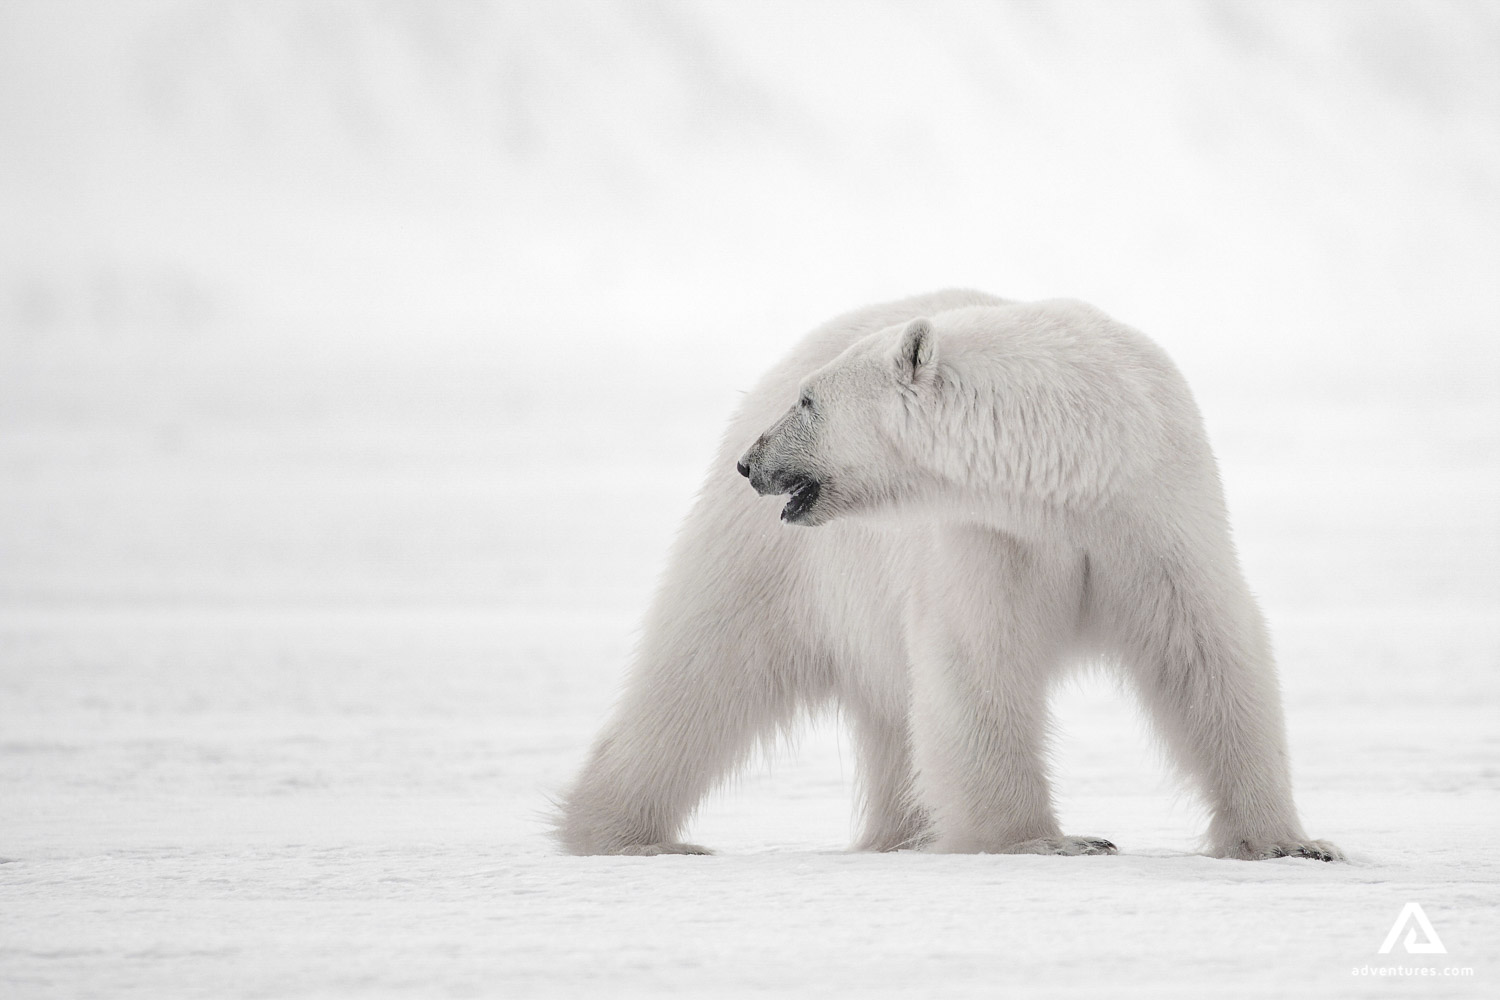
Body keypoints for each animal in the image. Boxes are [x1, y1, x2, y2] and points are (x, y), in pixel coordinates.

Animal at [556, 289, 1340, 861]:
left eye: (809, 403)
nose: (752, 463)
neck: (1072, 465)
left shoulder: (1155, 511)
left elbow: (1206, 652)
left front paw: (1292, 844)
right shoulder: (990, 535)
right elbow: (976, 663)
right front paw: (1048, 840)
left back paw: (901, 835)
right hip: (773, 562)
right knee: (703, 668)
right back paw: (623, 835)